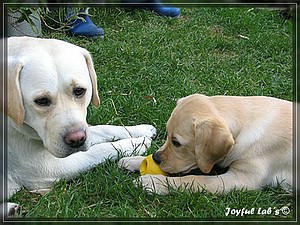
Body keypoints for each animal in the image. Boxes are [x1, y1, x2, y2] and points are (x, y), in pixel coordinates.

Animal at [3, 37, 156, 216]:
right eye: (41, 101)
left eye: (79, 91)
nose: (76, 140)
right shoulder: (48, 168)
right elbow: (98, 151)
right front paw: (137, 143)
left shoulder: (83, 129)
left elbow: (103, 128)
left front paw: (139, 129)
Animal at [118, 94, 292, 194]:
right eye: (167, 135)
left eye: (176, 142)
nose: (155, 158)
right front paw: (134, 159)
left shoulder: (244, 179)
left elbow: (195, 180)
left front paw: (153, 182)